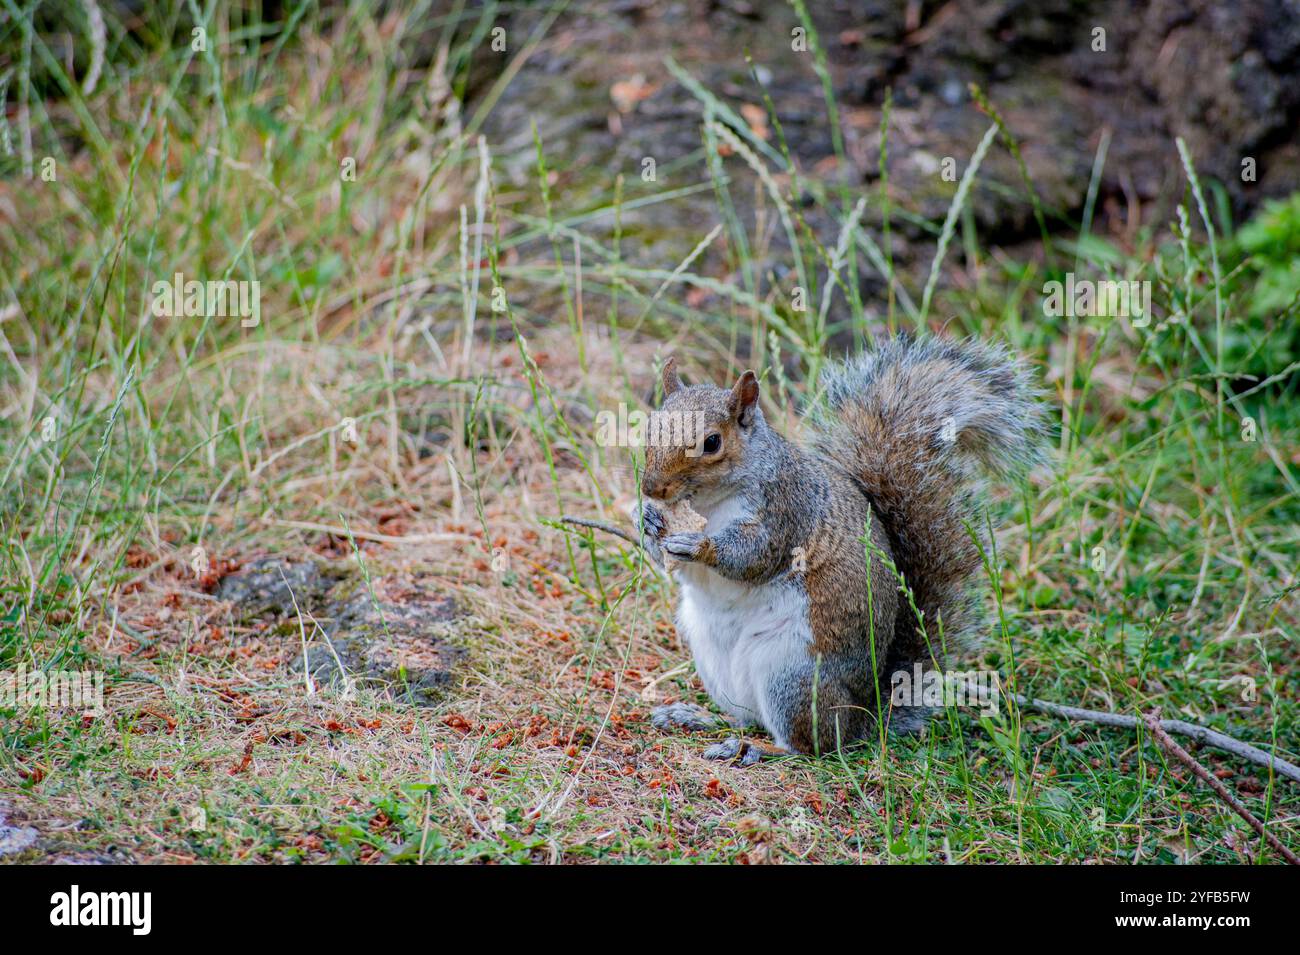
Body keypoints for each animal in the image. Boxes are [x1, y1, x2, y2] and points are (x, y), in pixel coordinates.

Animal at [635, 335, 1045, 765]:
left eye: (712, 442)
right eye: (650, 425)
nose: (652, 488)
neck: (708, 504)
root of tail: (863, 713)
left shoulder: (785, 511)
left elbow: (754, 557)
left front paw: (700, 544)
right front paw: (647, 520)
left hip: (793, 674)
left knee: (809, 745)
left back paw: (756, 746)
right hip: (716, 662)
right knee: (748, 716)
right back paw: (696, 717)